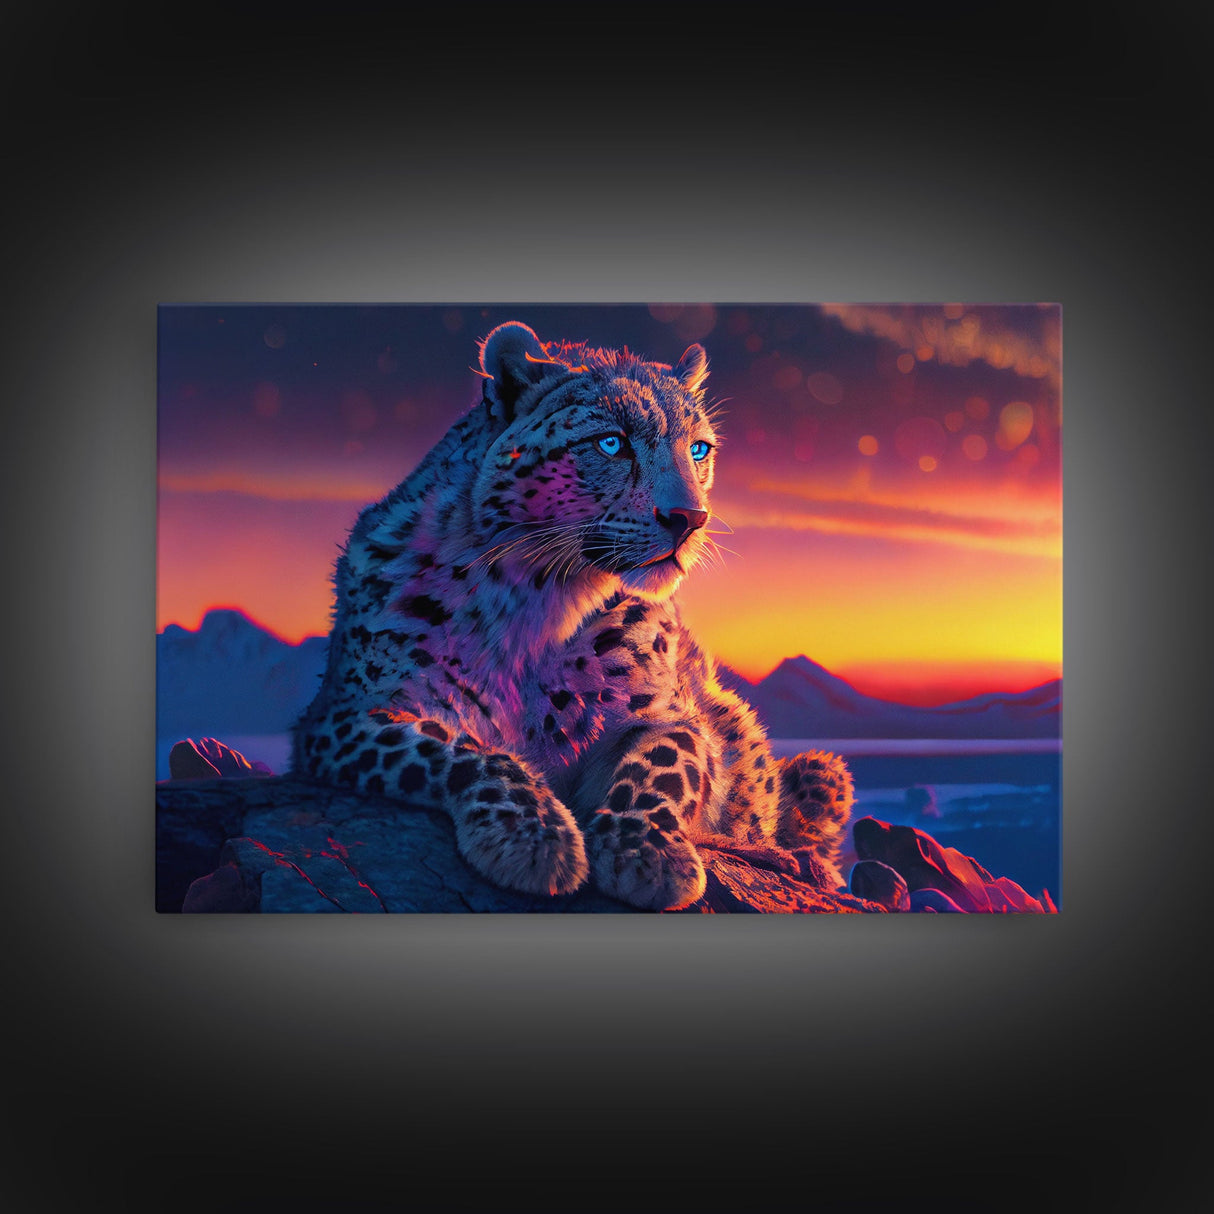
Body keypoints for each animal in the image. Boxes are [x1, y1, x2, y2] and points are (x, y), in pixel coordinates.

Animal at [291, 320, 854, 911]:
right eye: (611, 442)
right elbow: (463, 751)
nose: (690, 518)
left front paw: (648, 854)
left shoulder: (668, 715)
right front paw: (534, 839)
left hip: (821, 766)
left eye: (698, 449)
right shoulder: (353, 713)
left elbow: (663, 764)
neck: (536, 598)